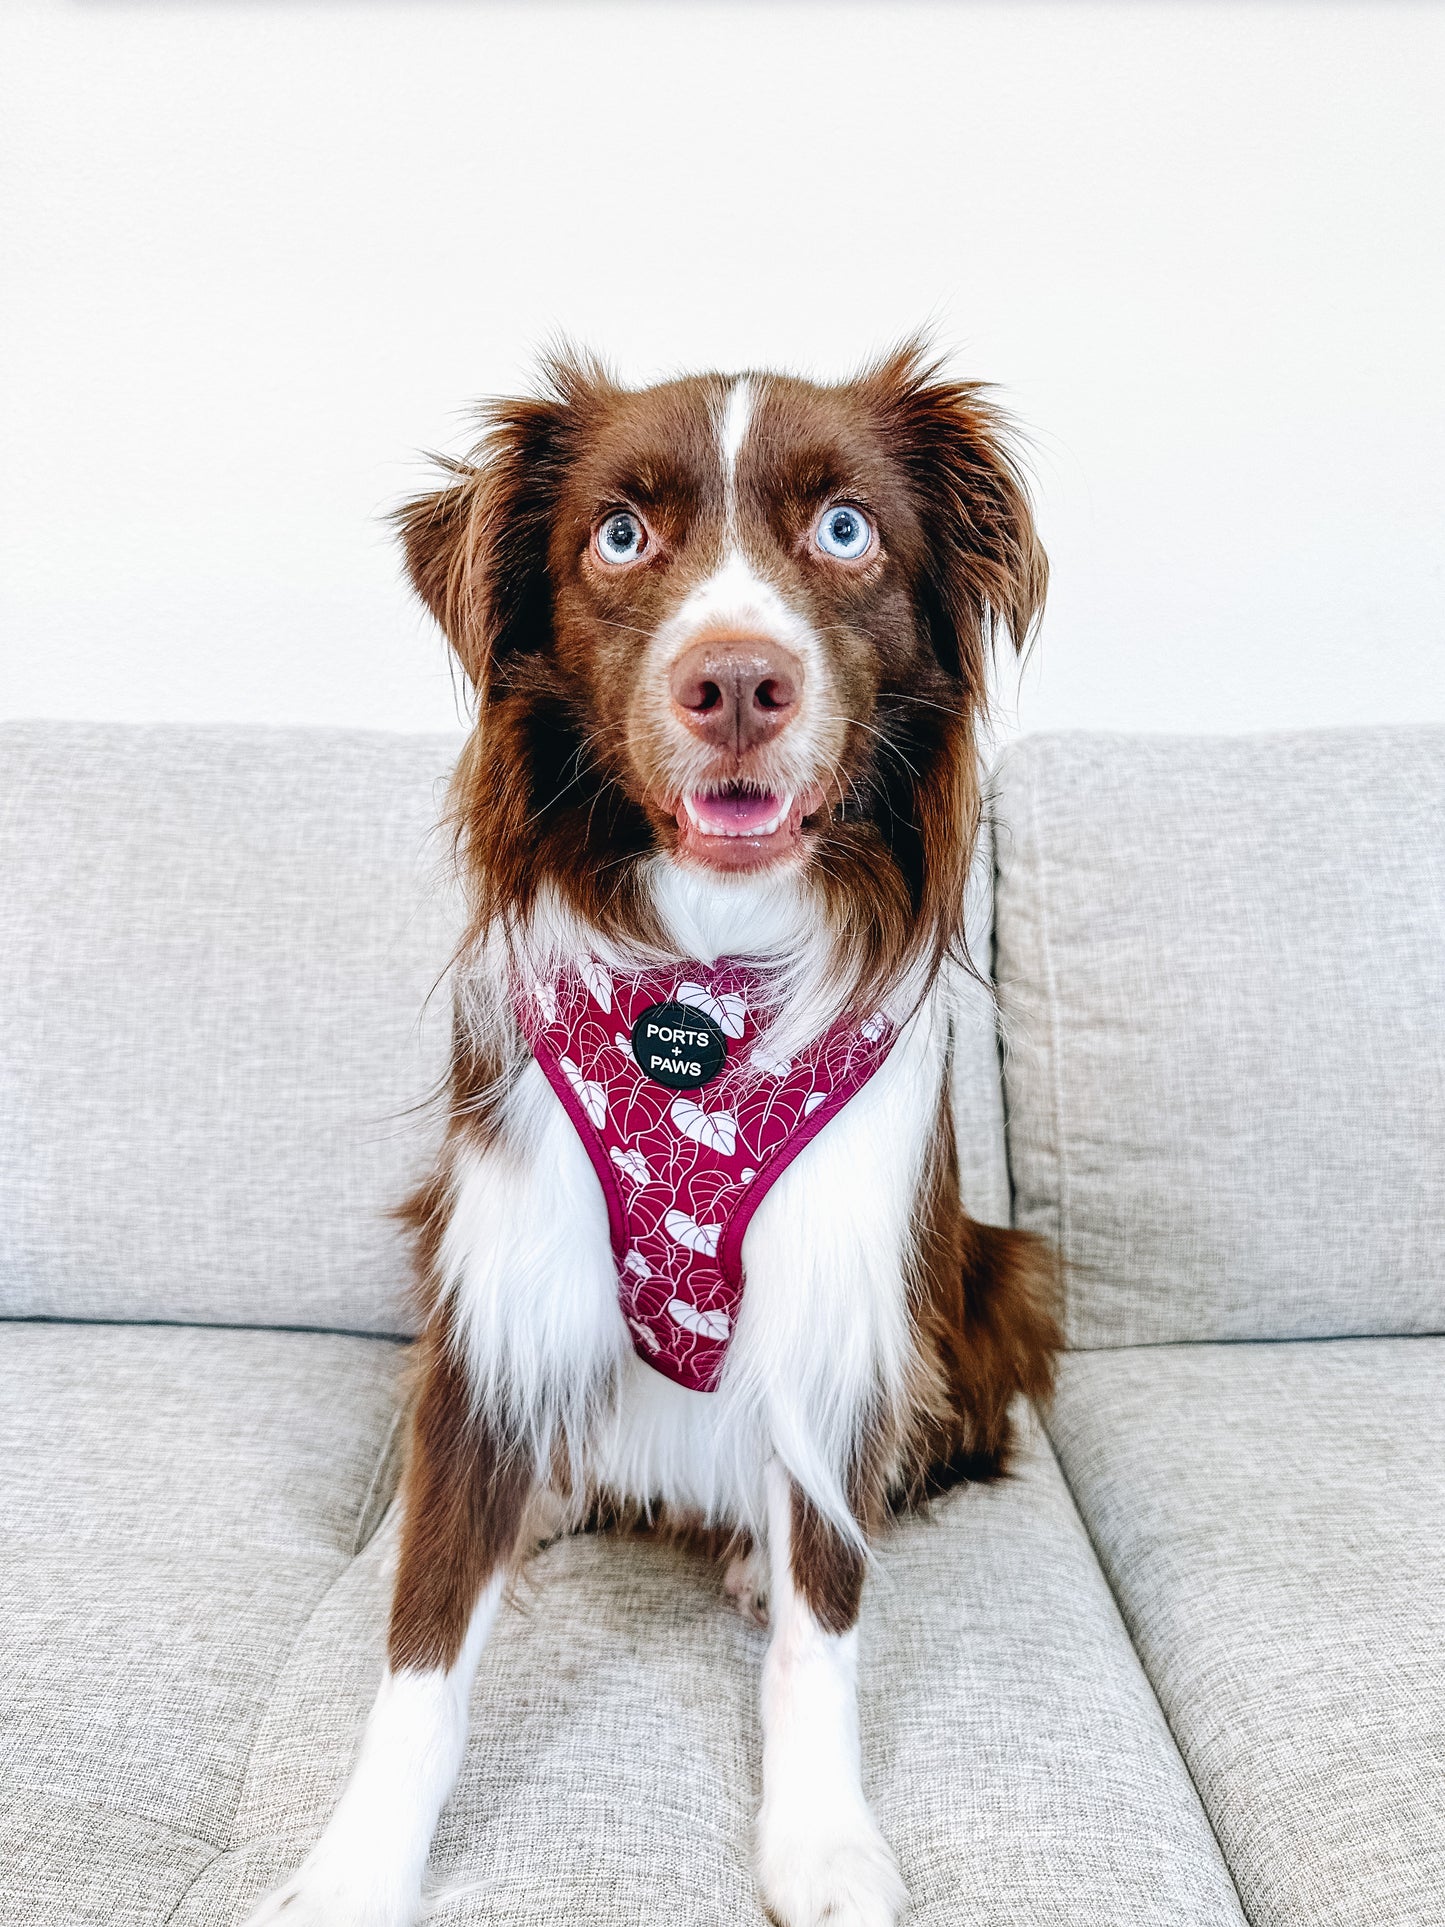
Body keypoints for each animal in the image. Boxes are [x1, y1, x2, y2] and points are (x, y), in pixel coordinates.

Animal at [246, 346, 1063, 1927]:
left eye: (847, 531)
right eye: (619, 536)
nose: (736, 681)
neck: (703, 985)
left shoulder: (837, 1292)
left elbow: (823, 1620)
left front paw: (822, 1839)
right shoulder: (499, 1268)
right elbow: (423, 1648)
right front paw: (355, 1865)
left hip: (997, 1274)